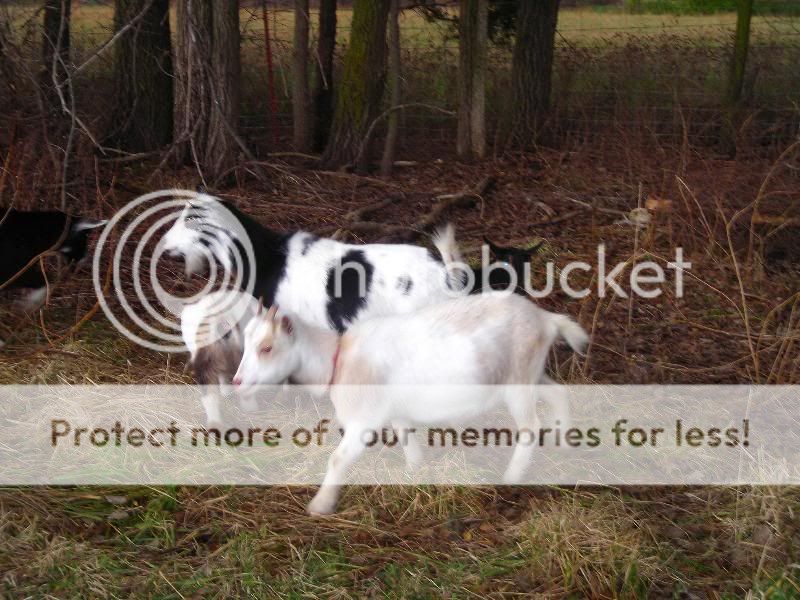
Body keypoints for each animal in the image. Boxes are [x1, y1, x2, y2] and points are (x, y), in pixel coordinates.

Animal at [232, 294, 588, 515]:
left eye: (267, 347)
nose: (236, 381)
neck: (337, 359)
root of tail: (545, 319)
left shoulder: (364, 419)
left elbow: (337, 460)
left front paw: (320, 505)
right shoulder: (395, 411)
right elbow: (406, 437)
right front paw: (413, 470)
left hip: (518, 381)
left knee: (530, 427)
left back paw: (512, 476)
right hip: (531, 374)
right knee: (559, 394)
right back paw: (565, 442)